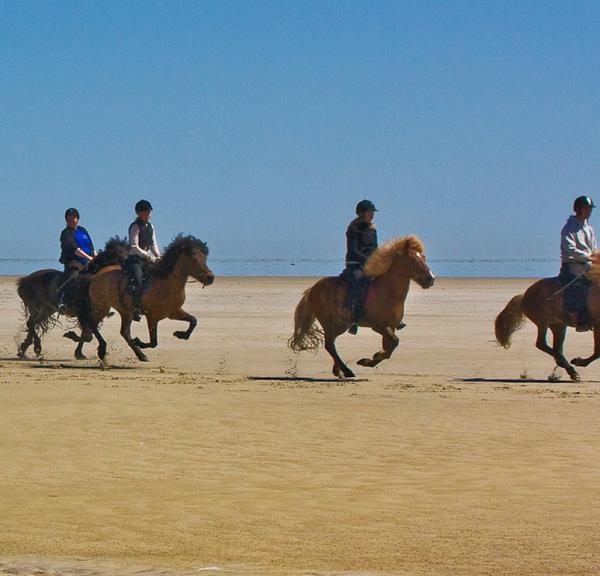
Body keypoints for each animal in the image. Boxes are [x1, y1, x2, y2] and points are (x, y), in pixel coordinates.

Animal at [77, 233, 213, 360]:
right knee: (92, 324)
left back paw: (140, 355)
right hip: (102, 307)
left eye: (205, 256)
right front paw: (139, 341)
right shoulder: (152, 317)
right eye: (193, 256)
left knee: (123, 332)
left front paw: (181, 334)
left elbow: (193, 321)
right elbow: (153, 342)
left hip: (125, 311)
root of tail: (96, 276)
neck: (166, 284)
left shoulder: (173, 312)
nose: (210, 277)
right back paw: (102, 350)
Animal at [288, 235, 434, 378]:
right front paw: (368, 360)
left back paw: (339, 371)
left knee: (331, 343)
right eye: (413, 260)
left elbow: (389, 348)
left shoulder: (391, 326)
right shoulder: (378, 326)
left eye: (423, 257)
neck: (387, 291)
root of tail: (313, 289)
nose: (430, 279)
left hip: (340, 324)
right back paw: (347, 371)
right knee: (329, 345)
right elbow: (394, 342)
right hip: (329, 321)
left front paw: (371, 359)